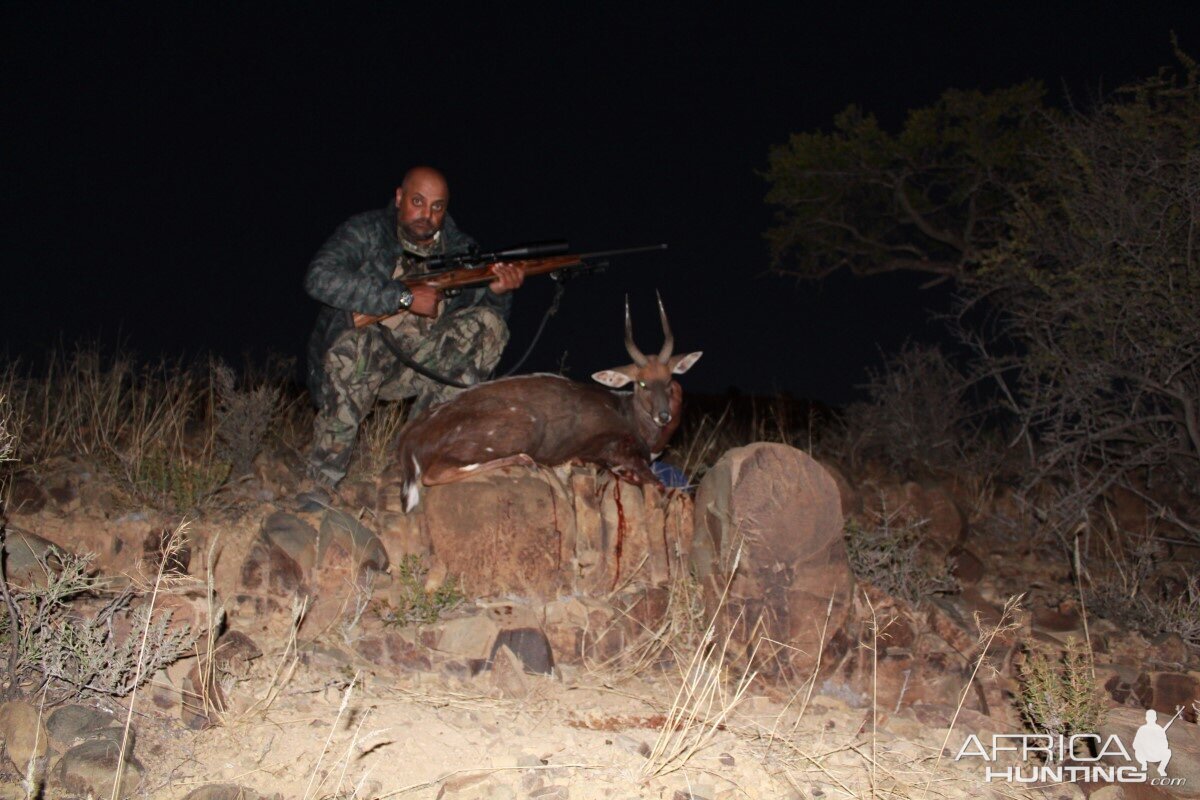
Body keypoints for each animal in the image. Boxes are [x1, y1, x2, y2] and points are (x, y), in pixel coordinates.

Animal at [393, 296, 700, 513]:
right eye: (642, 383)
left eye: (669, 380)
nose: (664, 415)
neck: (632, 420)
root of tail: (411, 438)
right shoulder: (612, 450)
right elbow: (656, 482)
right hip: (522, 427)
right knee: (434, 473)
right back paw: (524, 461)